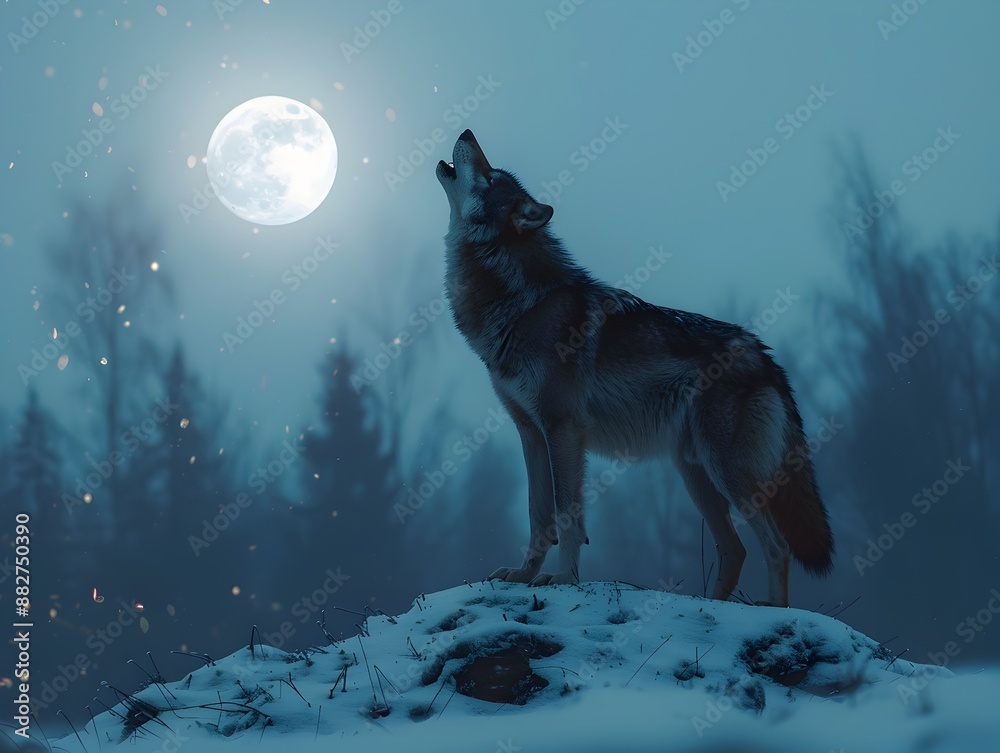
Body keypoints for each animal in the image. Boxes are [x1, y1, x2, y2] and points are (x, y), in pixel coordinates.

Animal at [435, 130, 833, 607]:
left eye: (491, 176)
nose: (467, 132)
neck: (523, 300)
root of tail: (765, 356)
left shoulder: (563, 429)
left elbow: (567, 516)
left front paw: (564, 578)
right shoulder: (530, 433)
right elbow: (538, 516)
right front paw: (523, 573)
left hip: (729, 474)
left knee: (776, 547)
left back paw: (771, 610)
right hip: (694, 474)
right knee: (735, 550)